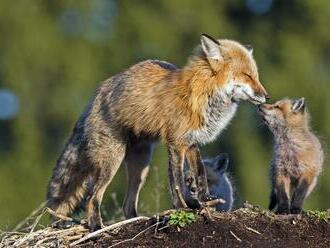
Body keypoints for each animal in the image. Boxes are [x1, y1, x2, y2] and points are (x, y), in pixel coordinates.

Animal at [47, 33, 268, 231]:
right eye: (247, 75)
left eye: (256, 76)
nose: (266, 96)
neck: (202, 95)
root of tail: (96, 94)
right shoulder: (176, 143)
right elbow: (176, 181)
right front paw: (183, 208)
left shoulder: (191, 142)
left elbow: (200, 173)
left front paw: (204, 200)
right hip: (112, 161)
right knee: (92, 198)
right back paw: (97, 227)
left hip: (140, 165)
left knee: (127, 205)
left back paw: (135, 221)